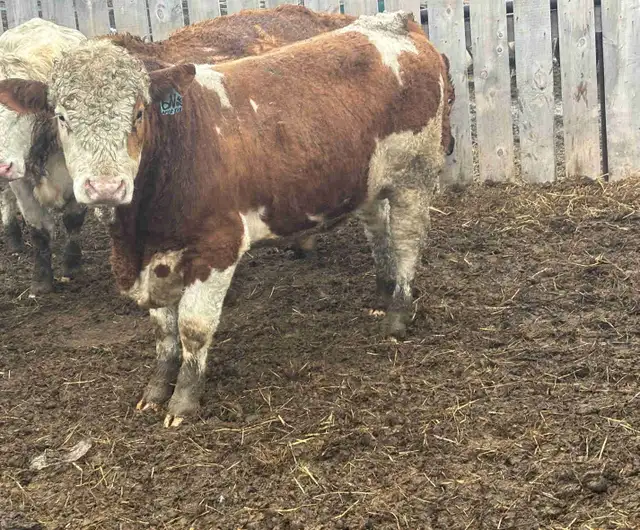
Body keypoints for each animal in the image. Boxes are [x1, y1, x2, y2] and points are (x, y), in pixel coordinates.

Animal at [0, 10, 455, 428]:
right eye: (62, 117)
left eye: (139, 113)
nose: (105, 187)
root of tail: (394, 22)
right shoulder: (154, 261)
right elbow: (164, 332)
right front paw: (156, 389)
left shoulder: (218, 246)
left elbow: (193, 328)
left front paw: (184, 400)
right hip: (367, 180)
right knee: (378, 228)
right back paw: (382, 292)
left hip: (415, 175)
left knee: (407, 240)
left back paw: (398, 314)